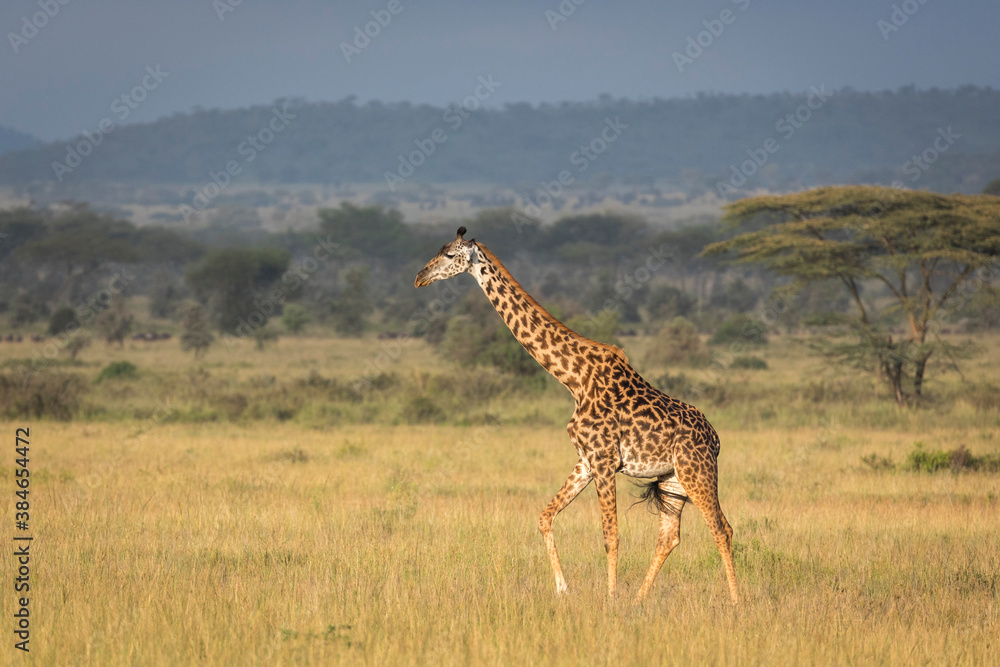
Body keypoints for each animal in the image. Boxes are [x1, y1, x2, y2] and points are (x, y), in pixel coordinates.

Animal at [415, 227, 739, 604]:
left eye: (450, 255)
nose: (420, 277)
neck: (574, 378)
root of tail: (715, 438)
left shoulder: (604, 460)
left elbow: (611, 535)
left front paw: (610, 600)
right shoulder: (585, 460)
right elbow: (545, 516)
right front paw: (563, 588)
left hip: (697, 472)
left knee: (722, 528)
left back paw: (736, 601)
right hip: (673, 481)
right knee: (669, 536)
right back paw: (640, 599)